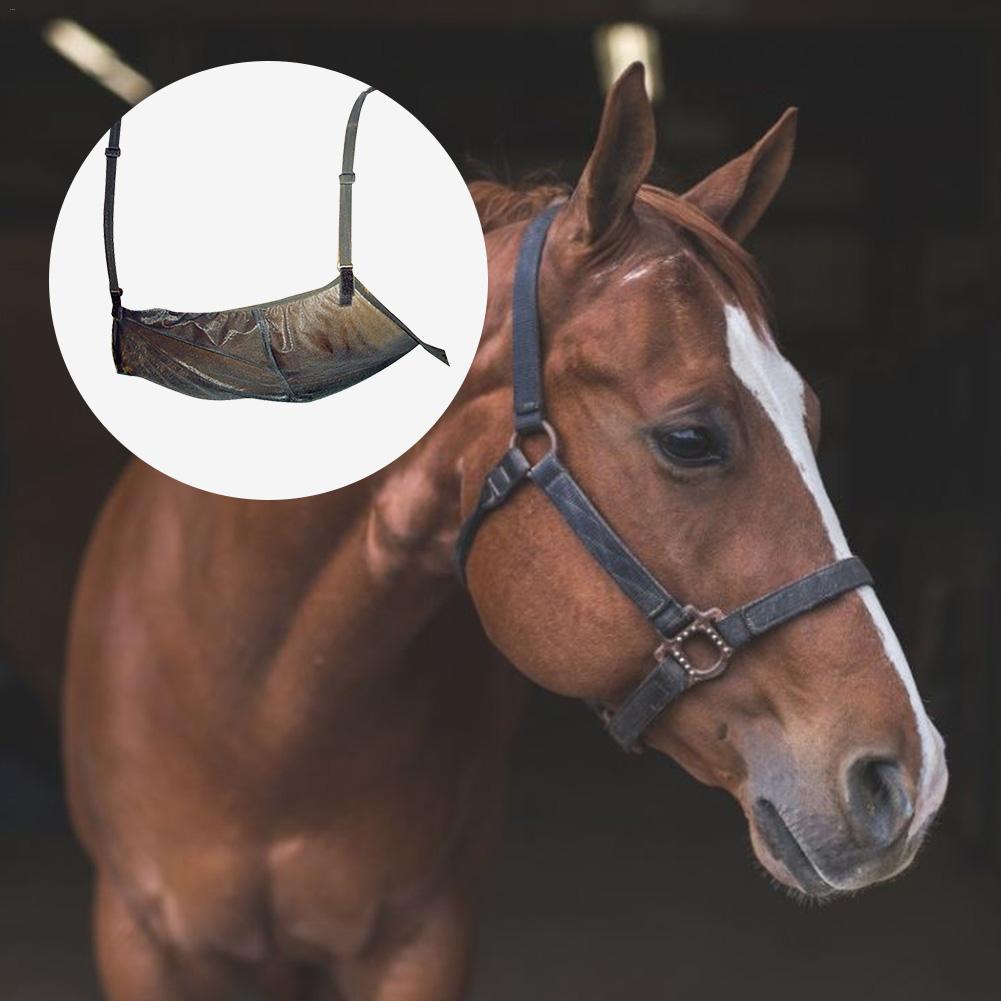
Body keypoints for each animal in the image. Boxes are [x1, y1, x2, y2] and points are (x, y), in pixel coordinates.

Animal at [64, 64, 947, 1000]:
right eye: (688, 437)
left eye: (810, 416)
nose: (911, 778)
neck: (261, 711)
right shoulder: (140, 939)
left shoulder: (423, 938)